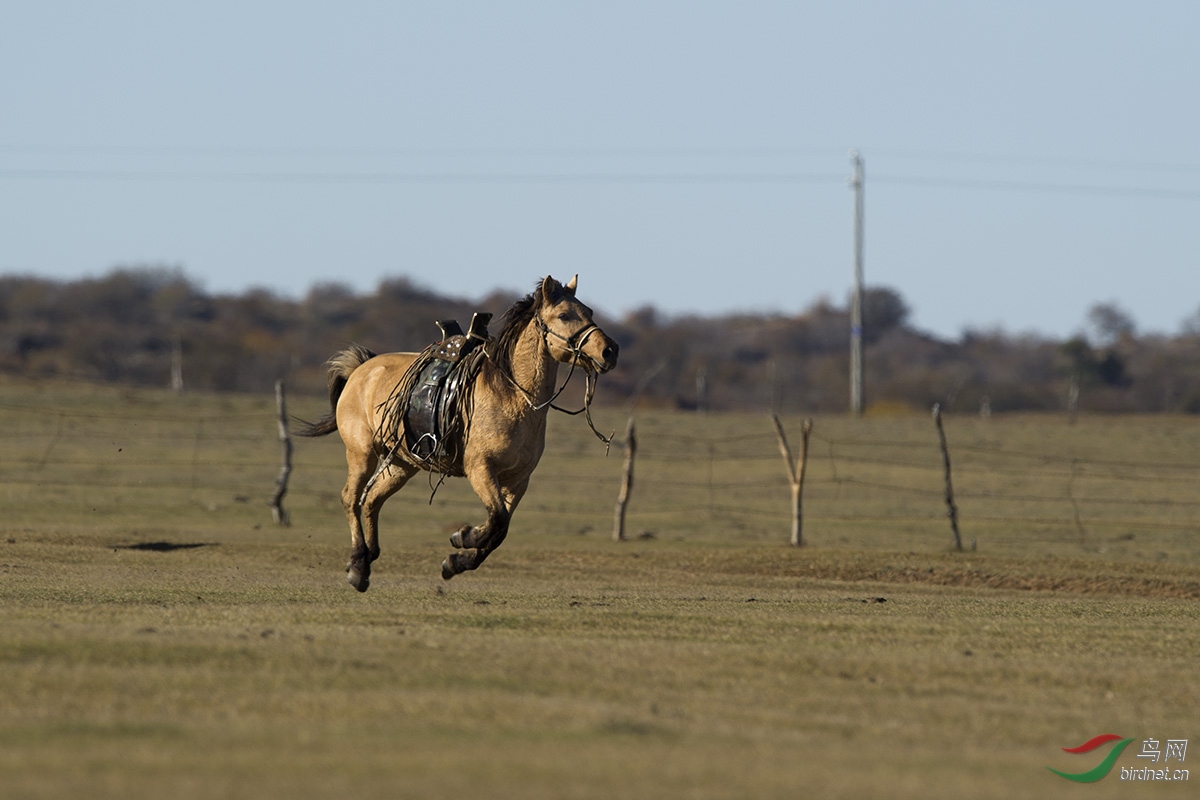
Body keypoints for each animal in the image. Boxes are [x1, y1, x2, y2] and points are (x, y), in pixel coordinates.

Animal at [298, 278, 619, 592]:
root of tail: (361, 369)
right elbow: (497, 519)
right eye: (564, 315)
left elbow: (500, 529)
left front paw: (456, 561)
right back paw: (357, 563)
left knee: (372, 501)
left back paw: (367, 561)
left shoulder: (518, 480)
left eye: (589, 311)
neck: (512, 396)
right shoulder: (480, 468)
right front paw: (464, 537)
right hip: (361, 454)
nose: (610, 351)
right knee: (351, 498)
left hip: (401, 464)